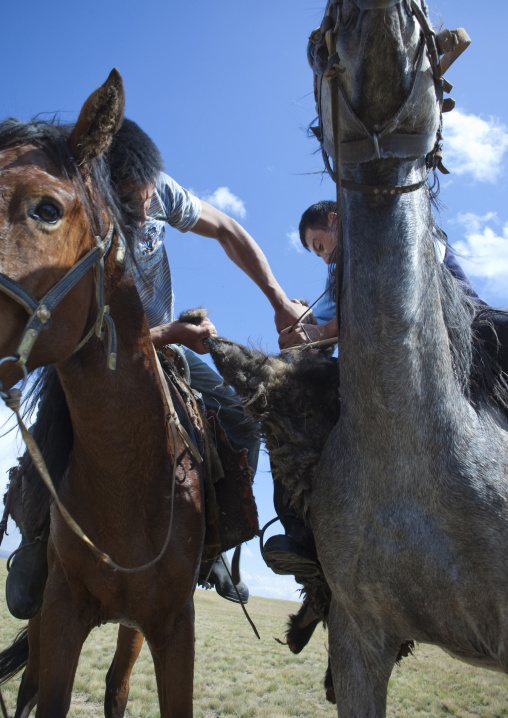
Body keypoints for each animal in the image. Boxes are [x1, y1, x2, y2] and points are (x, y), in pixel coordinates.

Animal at [0, 69, 205, 716]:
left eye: (46, 209)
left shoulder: (172, 625)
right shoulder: (61, 612)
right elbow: (47, 698)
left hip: (131, 627)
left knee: (115, 687)